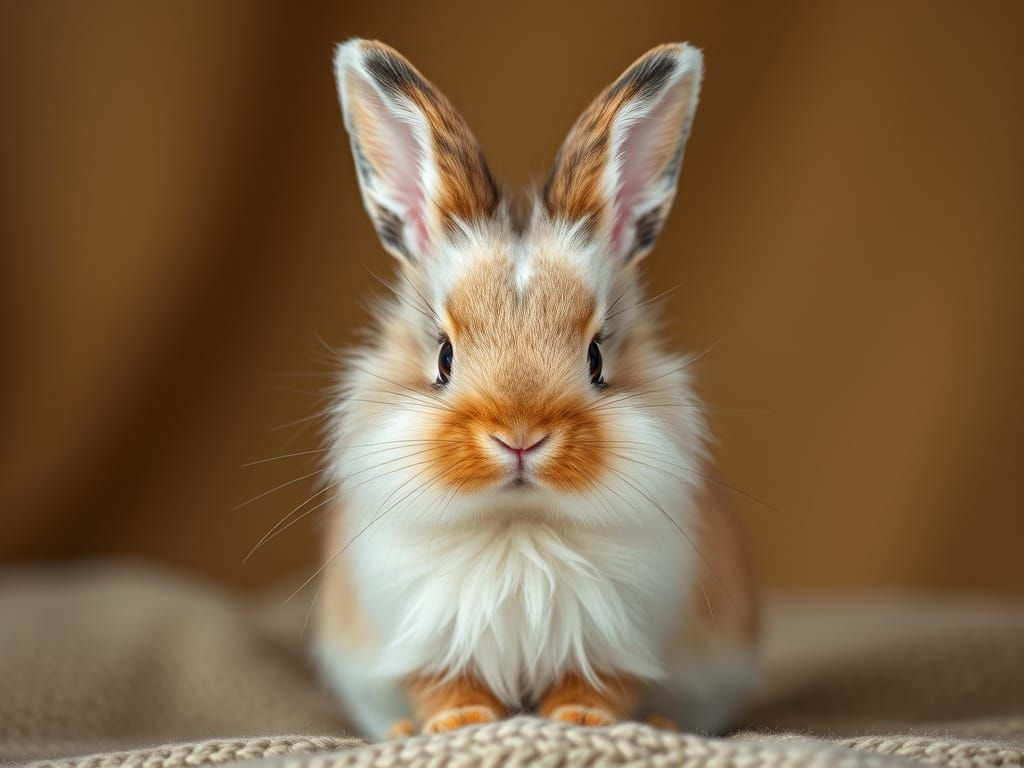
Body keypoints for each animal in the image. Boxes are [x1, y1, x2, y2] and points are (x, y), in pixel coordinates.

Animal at [316, 38, 758, 740]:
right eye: (443, 356)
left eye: (597, 356)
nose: (519, 438)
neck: (517, 523)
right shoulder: (424, 636)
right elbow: (444, 683)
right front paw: (456, 724)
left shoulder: (617, 634)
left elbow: (601, 682)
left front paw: (583, 720)